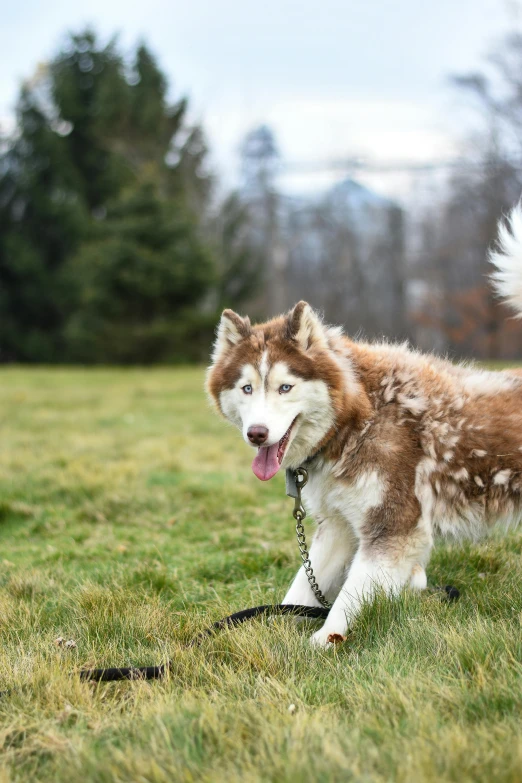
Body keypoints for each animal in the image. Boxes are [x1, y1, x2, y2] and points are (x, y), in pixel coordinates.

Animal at [205, 204, 520, 648]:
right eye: (247, 388)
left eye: (285, 387)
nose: (258, 434)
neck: (358, 422)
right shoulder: (338, 526)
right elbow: (301, 588)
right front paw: (273, 628)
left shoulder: (394, 529)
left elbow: (346, 599)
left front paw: (323, 641)